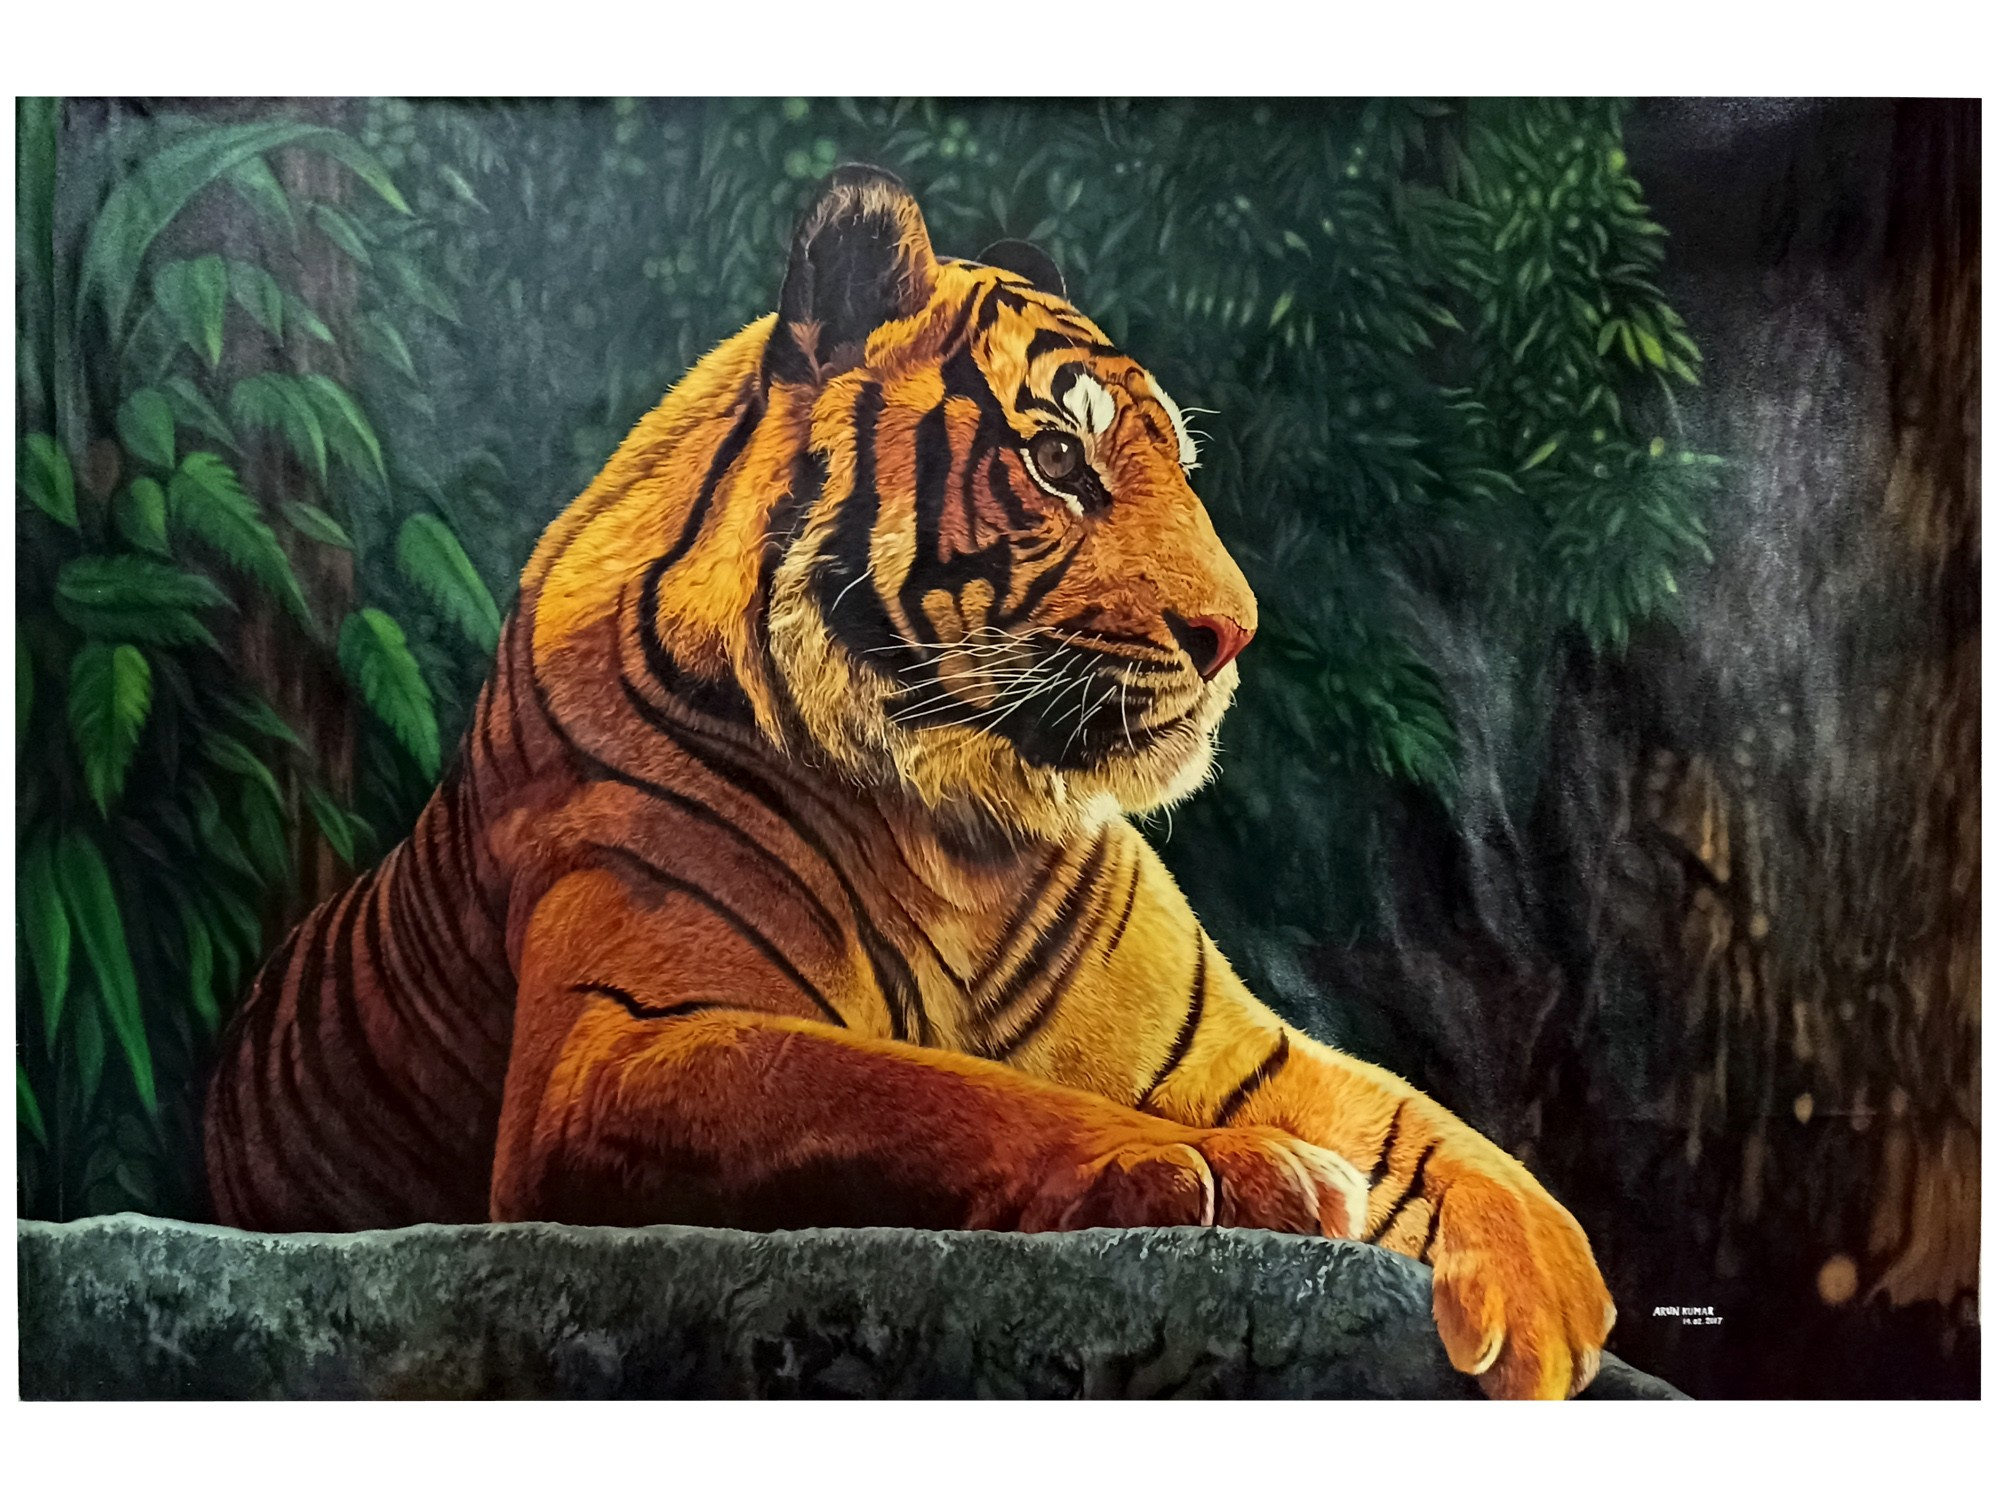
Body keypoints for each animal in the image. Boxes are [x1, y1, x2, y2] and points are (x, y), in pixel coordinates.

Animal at [205, 164, 1615, 1399]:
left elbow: (1428, 1131)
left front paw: (1552, 1306)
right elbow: (924, 1092)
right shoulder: (620, 1044)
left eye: (1175, 465)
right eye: (1057, 462)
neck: (959, 827)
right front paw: (1204, 1166)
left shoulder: (1233, 1041)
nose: (1232, 634)